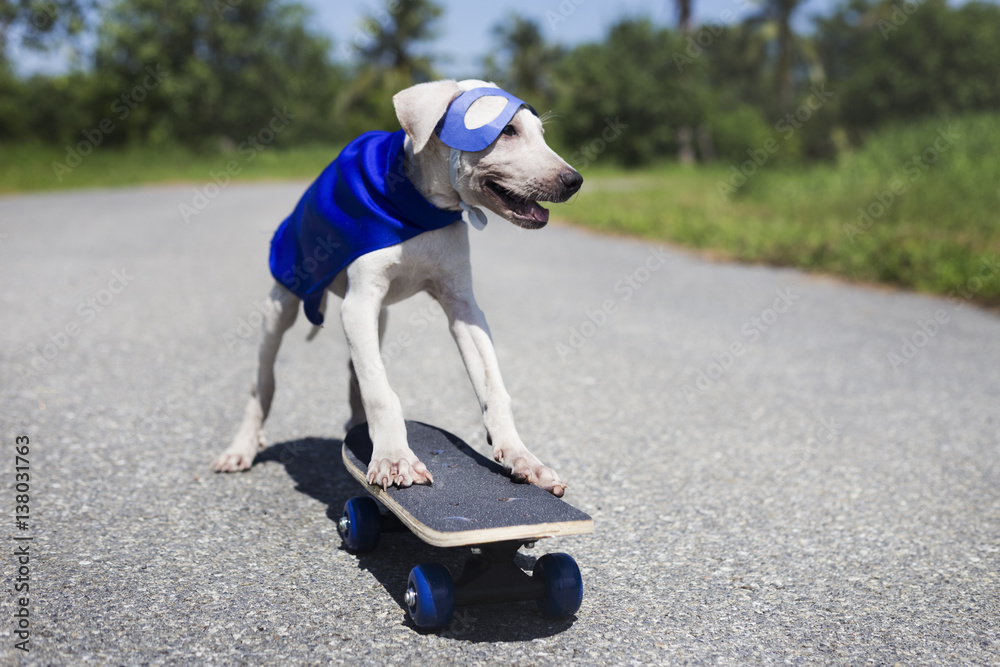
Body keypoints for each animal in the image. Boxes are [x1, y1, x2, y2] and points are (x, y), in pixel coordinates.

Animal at [215, 79, 584, 496]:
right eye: (507, 131)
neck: (419, 209)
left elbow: (493, 387)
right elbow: (380, 390)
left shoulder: (463, 306)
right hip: (283, 303)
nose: (574, 181)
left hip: (381, 318)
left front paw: (522, 456)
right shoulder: (358, 305)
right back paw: (242, 447)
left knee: (354, 370)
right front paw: (394, 458)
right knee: (263, 383)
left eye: (541, 134)